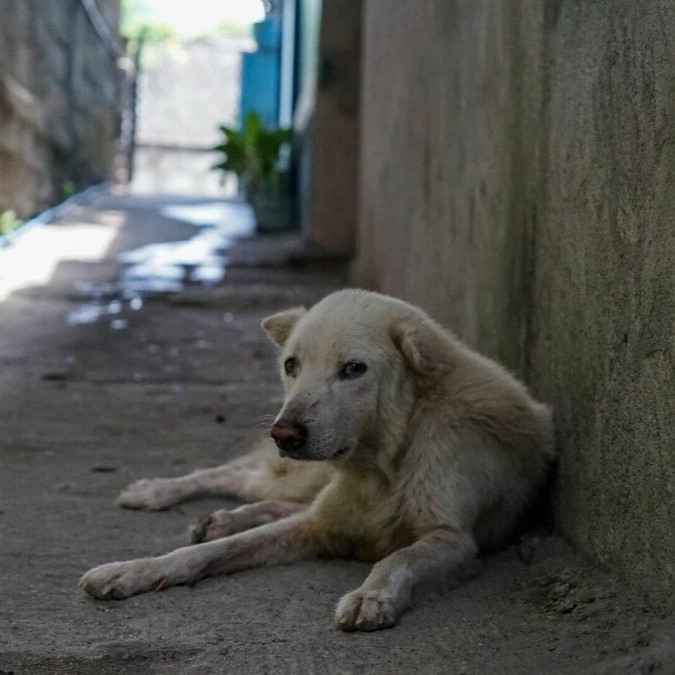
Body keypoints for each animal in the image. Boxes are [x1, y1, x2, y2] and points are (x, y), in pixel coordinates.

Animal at [78, 288, 556, 632]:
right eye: (291, 364)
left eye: (354, 369)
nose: (284, 434)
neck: (383, 466)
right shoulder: (316, 524)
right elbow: (210, 552)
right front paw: (133, 571)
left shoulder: (455, 540)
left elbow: (397, 557)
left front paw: (371, 596)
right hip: (299, 475)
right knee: (239, 476)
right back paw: (156, 492)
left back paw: (220, 517)